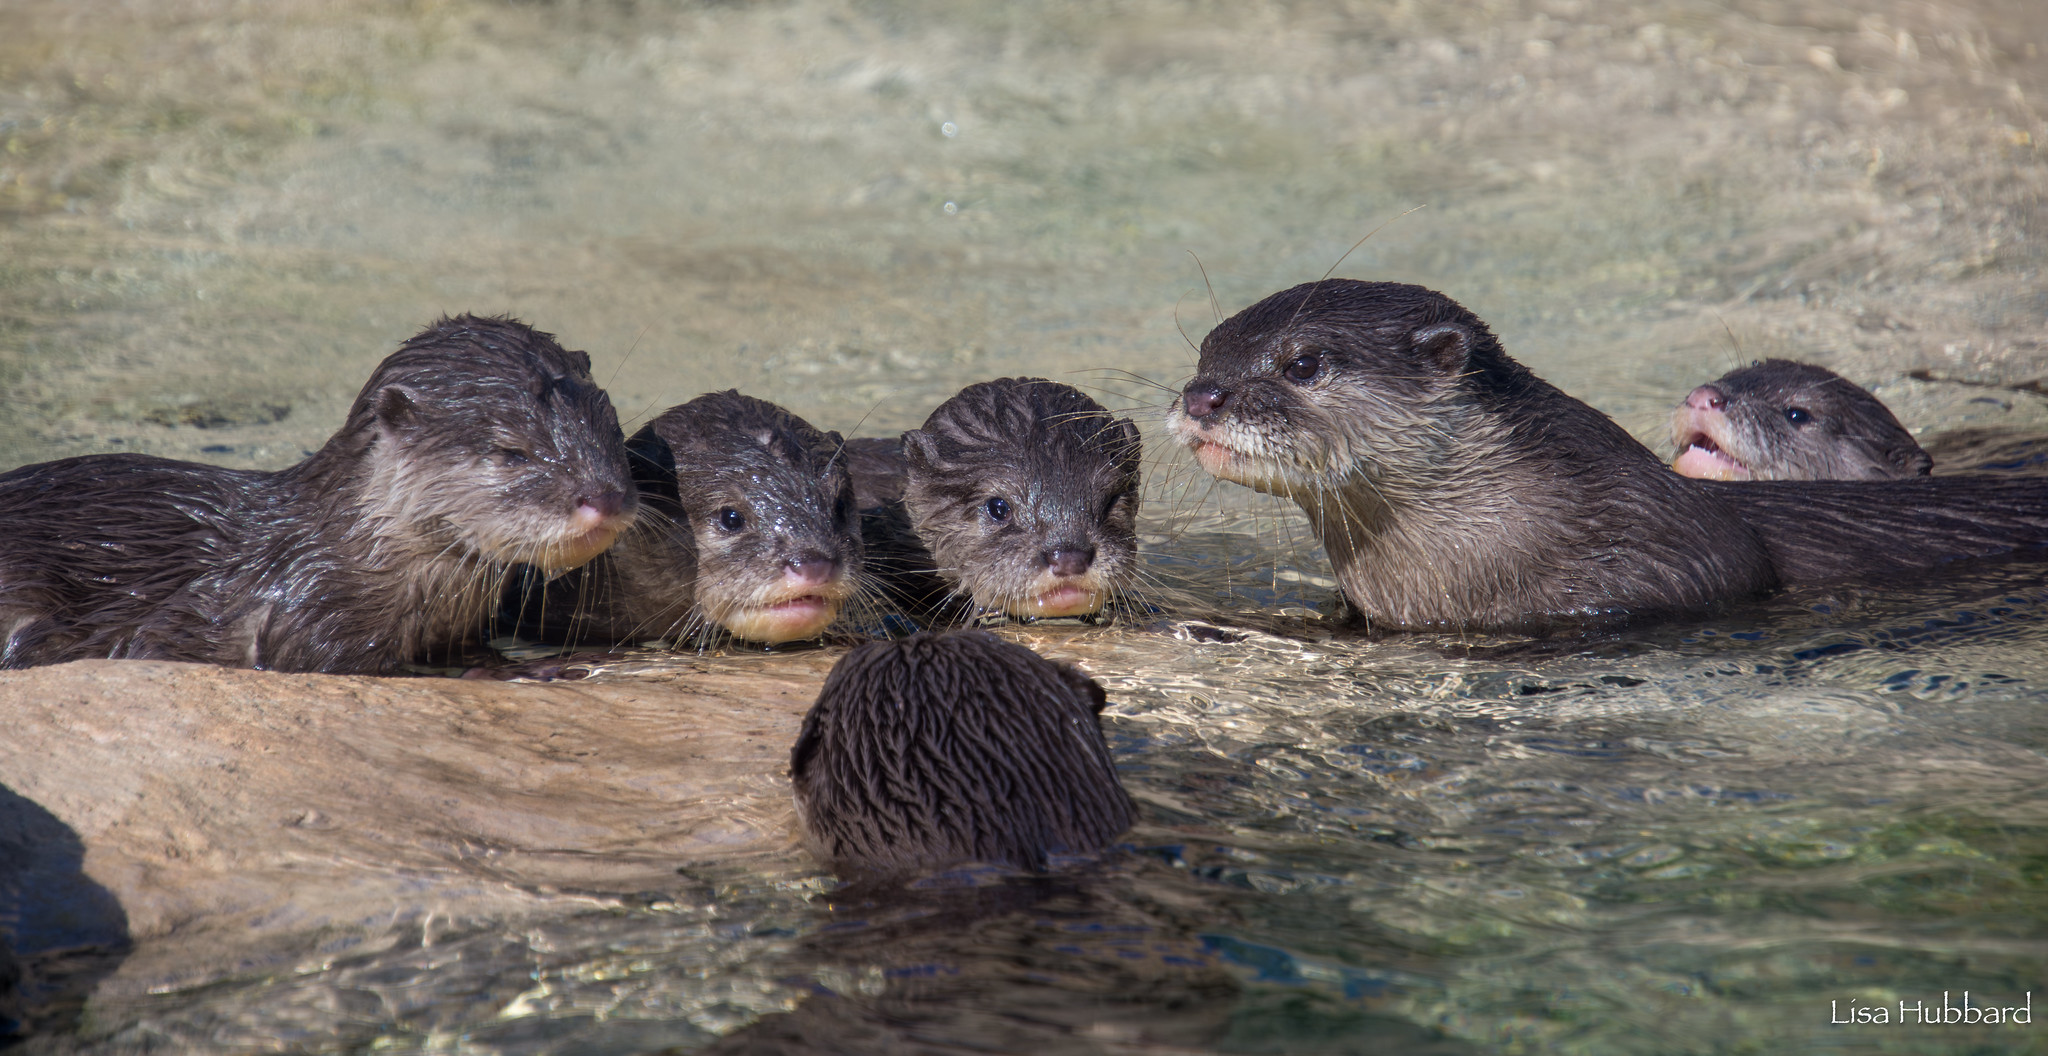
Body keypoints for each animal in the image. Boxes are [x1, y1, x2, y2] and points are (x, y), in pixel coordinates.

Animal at [0, 316, 636, 672]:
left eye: (610, 427)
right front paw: (519, 670)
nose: (605, 498)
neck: (352, 556)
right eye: (512, 453)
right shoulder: (307, 615)